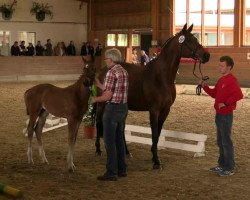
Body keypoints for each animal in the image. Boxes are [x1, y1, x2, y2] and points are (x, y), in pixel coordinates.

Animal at [94, 24, 210, 170]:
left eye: (195, 38)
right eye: (189, 40)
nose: (206, 55)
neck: (161, 76)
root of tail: (103, 70)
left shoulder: (165, 110)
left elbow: (158, 133)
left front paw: (154, 155)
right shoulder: (154, 110)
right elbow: (154, 134)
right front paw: (156, 161)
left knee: (121, 128)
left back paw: (126, 152)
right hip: (102, 104)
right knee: (99, 122)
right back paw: (98, 150)